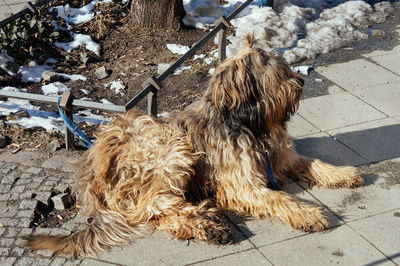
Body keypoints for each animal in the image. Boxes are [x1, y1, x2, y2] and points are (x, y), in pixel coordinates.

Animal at [24, 36, 362, 256]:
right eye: (278, 75)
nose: (301, 83)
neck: (247, 125)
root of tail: (90, 171)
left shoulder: (279, 158)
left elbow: (312, 163)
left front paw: (343, 173)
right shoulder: (242, 185)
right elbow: (278, 198)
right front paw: (309, 214)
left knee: (155, 215)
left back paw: (206, 223)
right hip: (168, 150)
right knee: (154, 206)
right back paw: (206, 219)